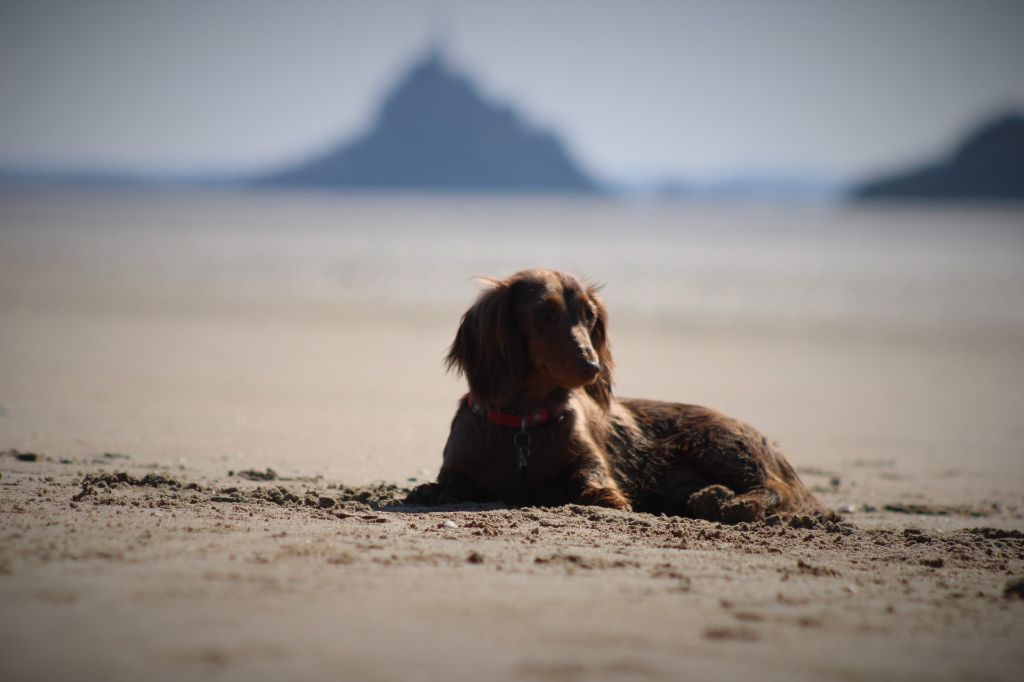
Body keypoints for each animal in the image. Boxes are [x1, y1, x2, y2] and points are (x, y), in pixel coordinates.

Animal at [407, 266, 831, 520]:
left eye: (590, 317)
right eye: (544, 312)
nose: (591, 366)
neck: (524, 424)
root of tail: (771, 445)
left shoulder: (591, 461)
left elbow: (592, 479)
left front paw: (607, 499)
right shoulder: (458, 465)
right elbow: (450, 483)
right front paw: (428, 491)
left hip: (715, 440)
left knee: (778, 489)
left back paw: (735, 503)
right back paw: (711, 497)